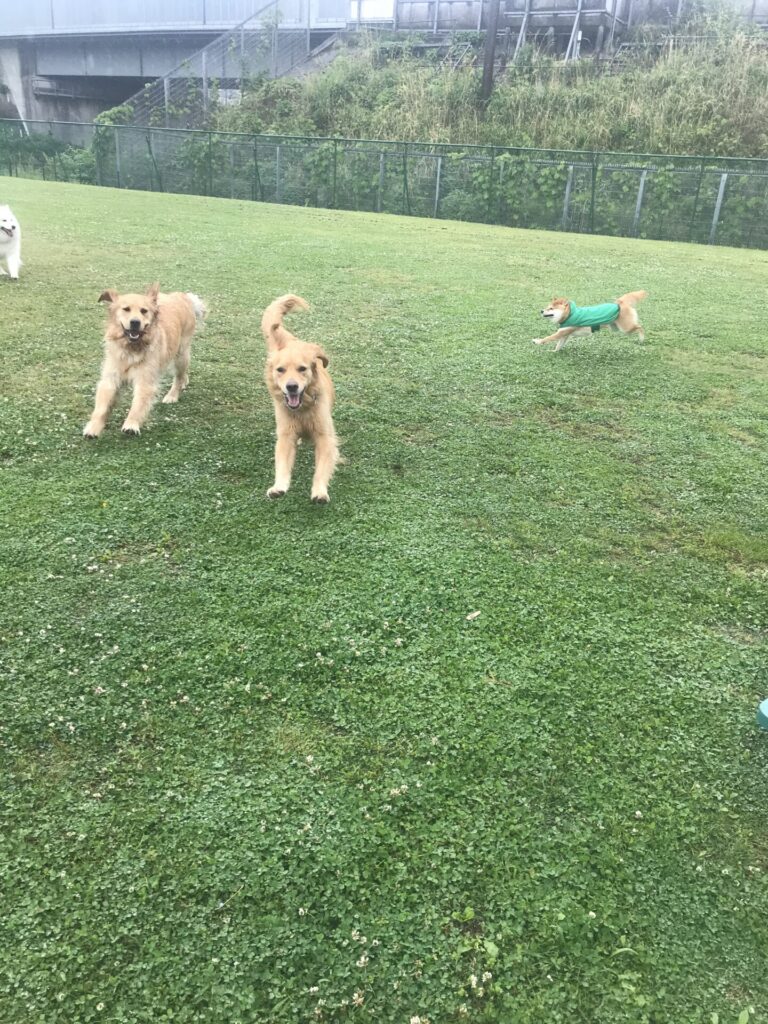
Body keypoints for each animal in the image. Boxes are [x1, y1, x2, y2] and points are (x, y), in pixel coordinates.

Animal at [83, 284, 206, 438]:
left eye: (144, 311)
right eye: (126, 309)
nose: (135, 322)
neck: (131, 348)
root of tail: (182, 296)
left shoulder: (145, 380)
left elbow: (138, 405)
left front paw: (131, 424)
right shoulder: (111, 378)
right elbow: (102, 406)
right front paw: (93, 427)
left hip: (181, 354)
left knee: (178, 376)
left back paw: (172, 395)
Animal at [262, 294, 339, 504]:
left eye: (302, 369)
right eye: (280, 370)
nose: (291, 386)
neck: (302, 409)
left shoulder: (324, 436)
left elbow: (321, 468)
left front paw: (320, 491)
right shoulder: (286, 435)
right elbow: (282, 462)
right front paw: (278, 486)